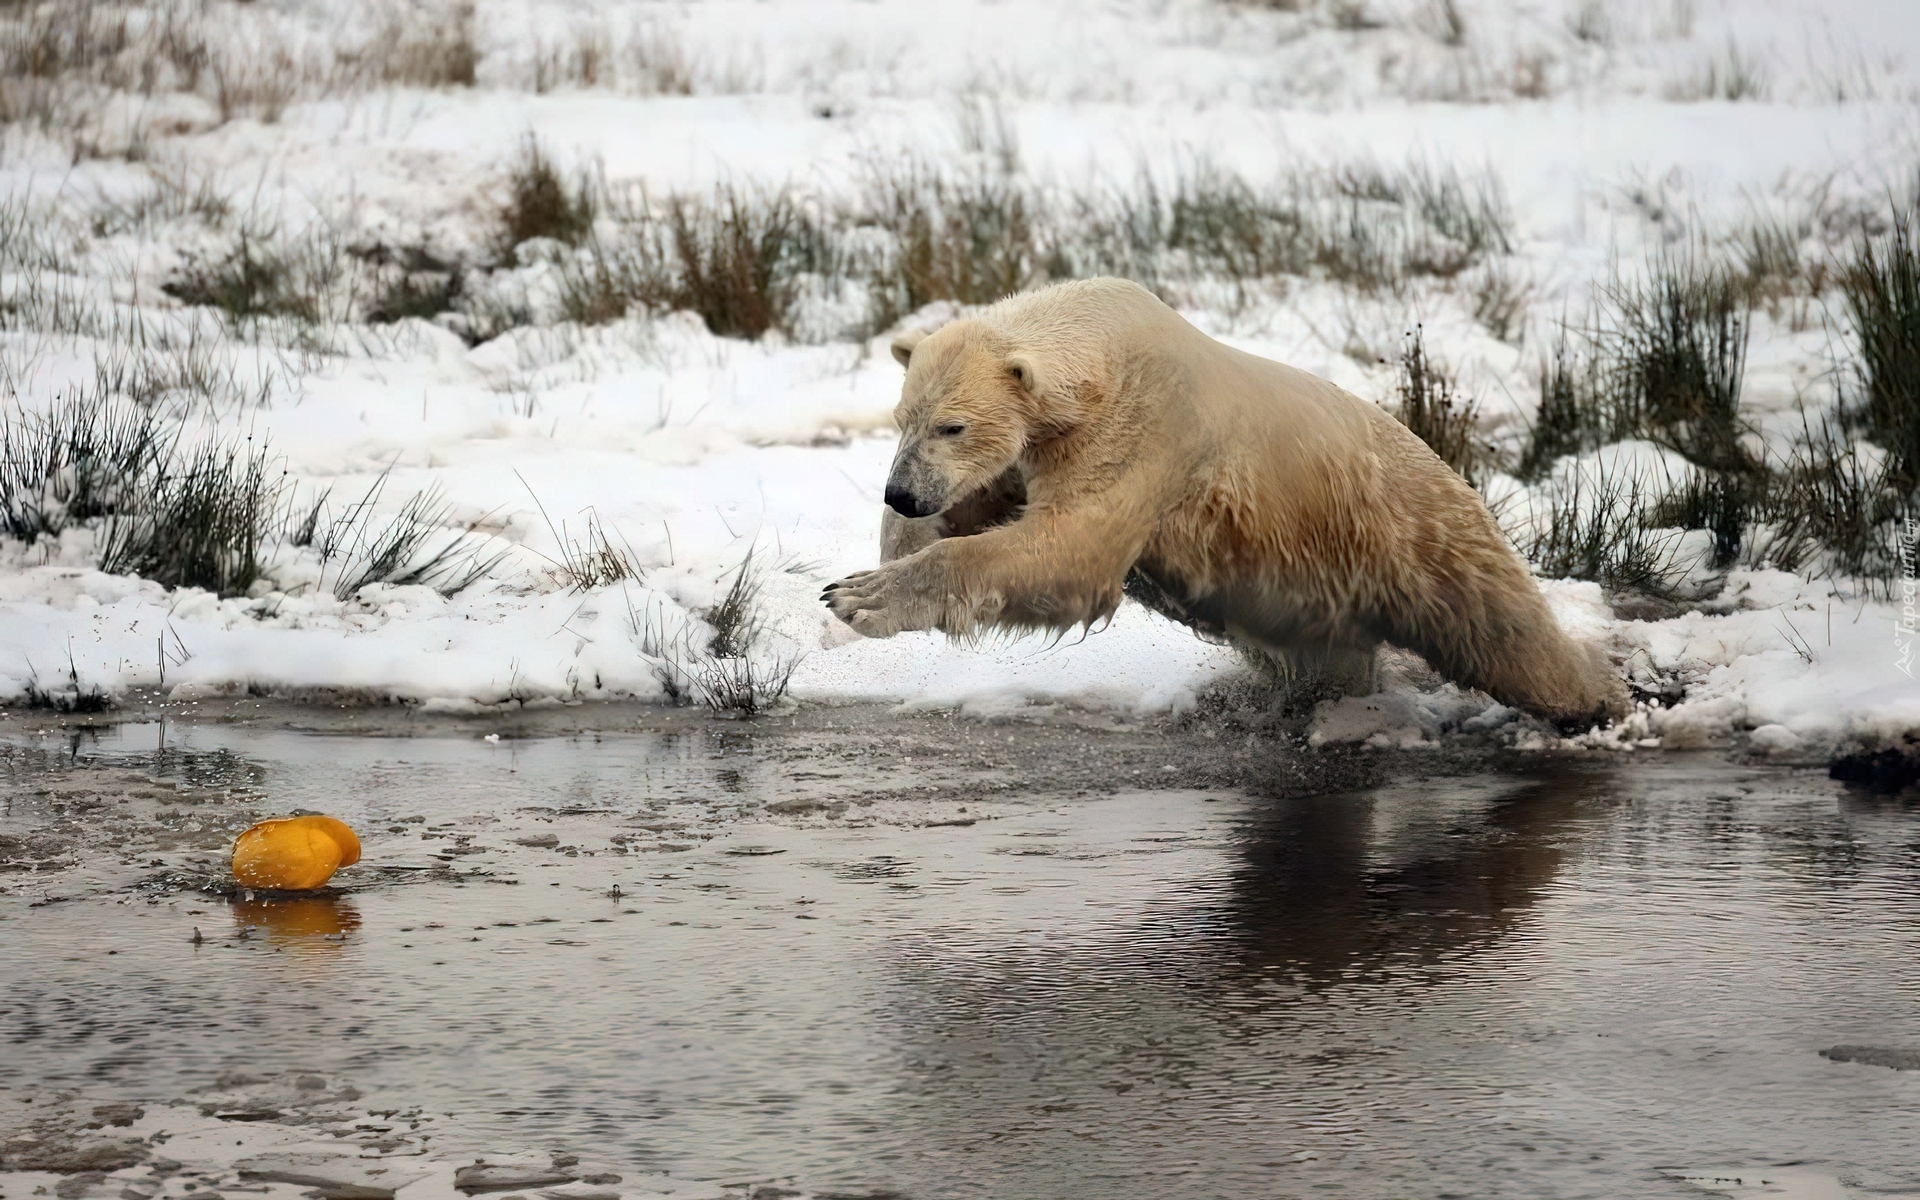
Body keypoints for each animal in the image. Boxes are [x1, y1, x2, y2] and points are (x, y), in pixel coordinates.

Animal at [817, 276, 1628, 725]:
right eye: (903, 419)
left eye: (952, 425)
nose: (903, 491)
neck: (1102, 343)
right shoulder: (1040, 448)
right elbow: (991, 507)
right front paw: (878, 563)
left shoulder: (1145, 430)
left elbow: (1070, 552)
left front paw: (857, 598)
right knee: (1333, 659)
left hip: (1416, 536)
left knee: (1505, 634)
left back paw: (1601, 701)